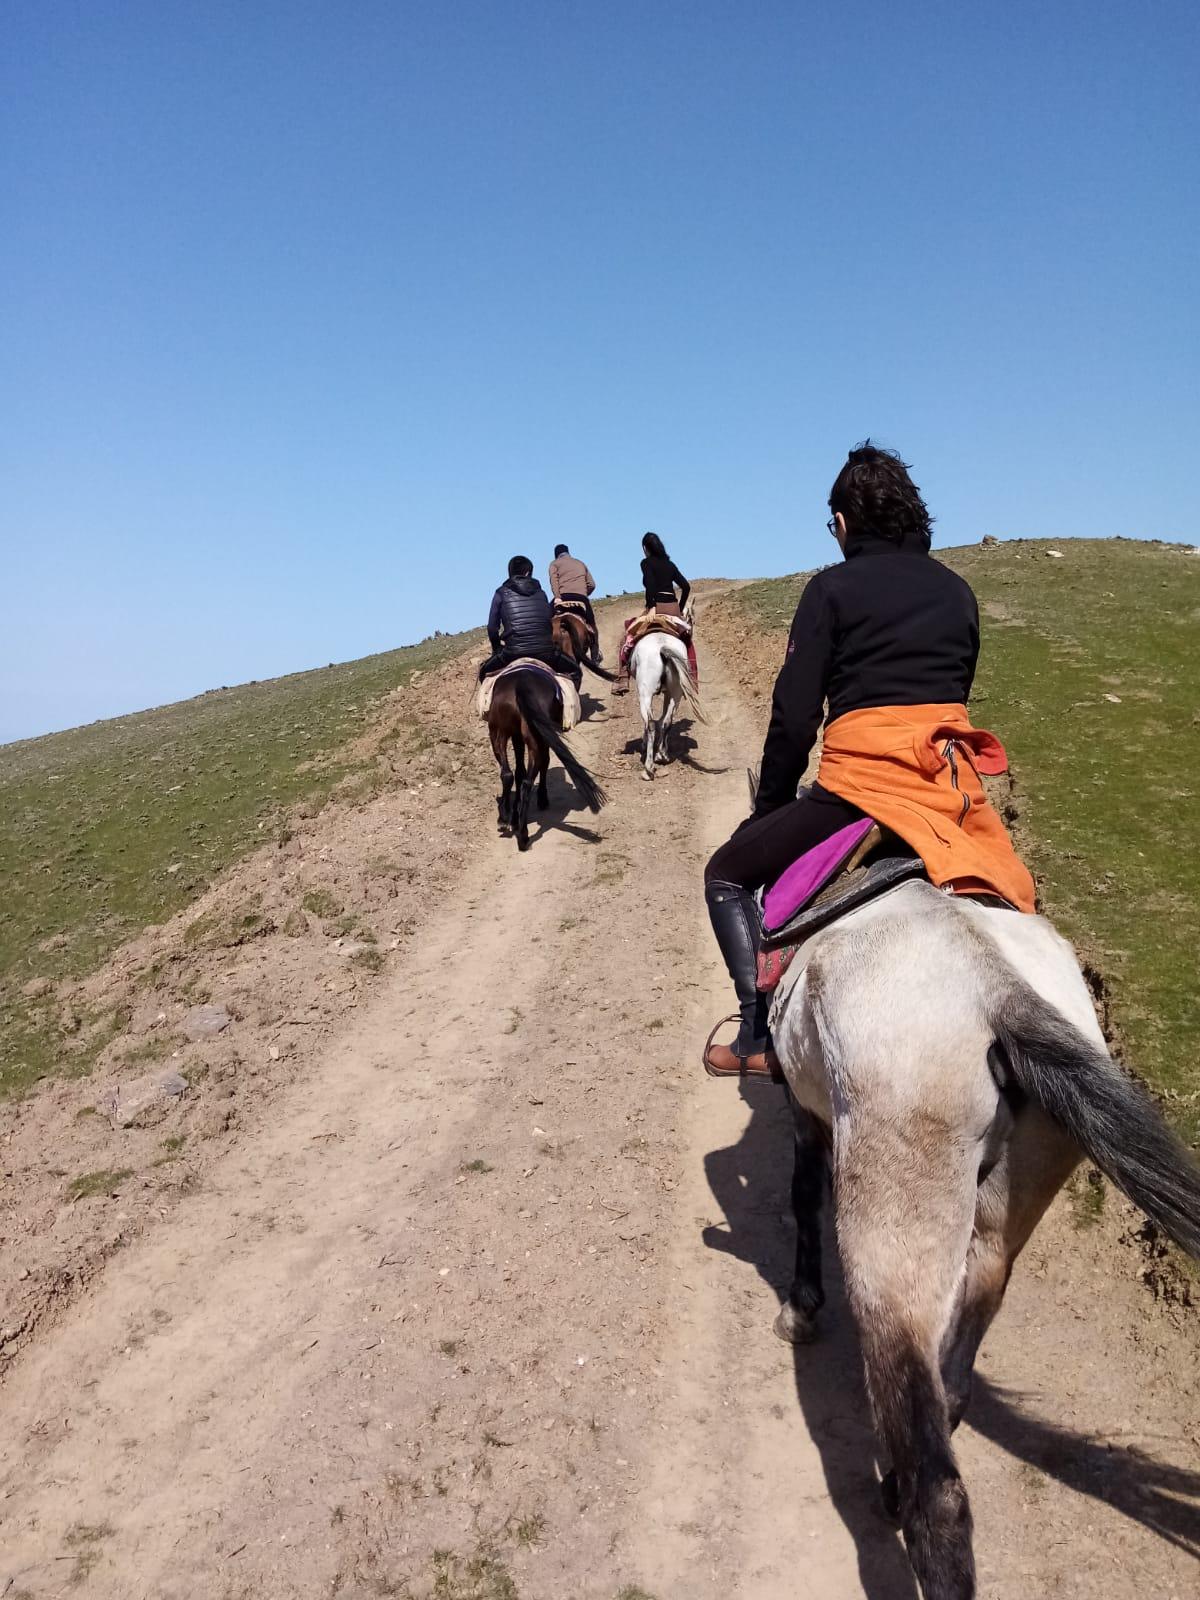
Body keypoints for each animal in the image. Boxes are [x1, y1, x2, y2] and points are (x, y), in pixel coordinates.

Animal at [483, 665, 604, 851]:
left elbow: (519, 771)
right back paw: (523, 835)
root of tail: (521, 682)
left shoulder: (517, 736)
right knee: (530, 777)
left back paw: (505, 820)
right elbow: (543, 764)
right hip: (535, 737)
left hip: (498, 733)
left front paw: (513, 816)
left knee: (509, 774)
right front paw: (541, 799)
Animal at [633, 630, 700, 780]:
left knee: (650, 723)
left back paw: (649, 767)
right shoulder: (668, 693)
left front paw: (644, 743)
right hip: (676, 693)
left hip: (645, 694)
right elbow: (663, 718)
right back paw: (662, 755)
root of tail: (662, 649)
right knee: (667, 721)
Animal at [771, 883, 1200, 1593]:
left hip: (894, 1232)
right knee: (955, 1379)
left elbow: (803, 1195)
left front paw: (801, 1306)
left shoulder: (801, 1107)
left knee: (936, 1482)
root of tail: (995, 987)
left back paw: (904, 1500)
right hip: (1014, 1194)